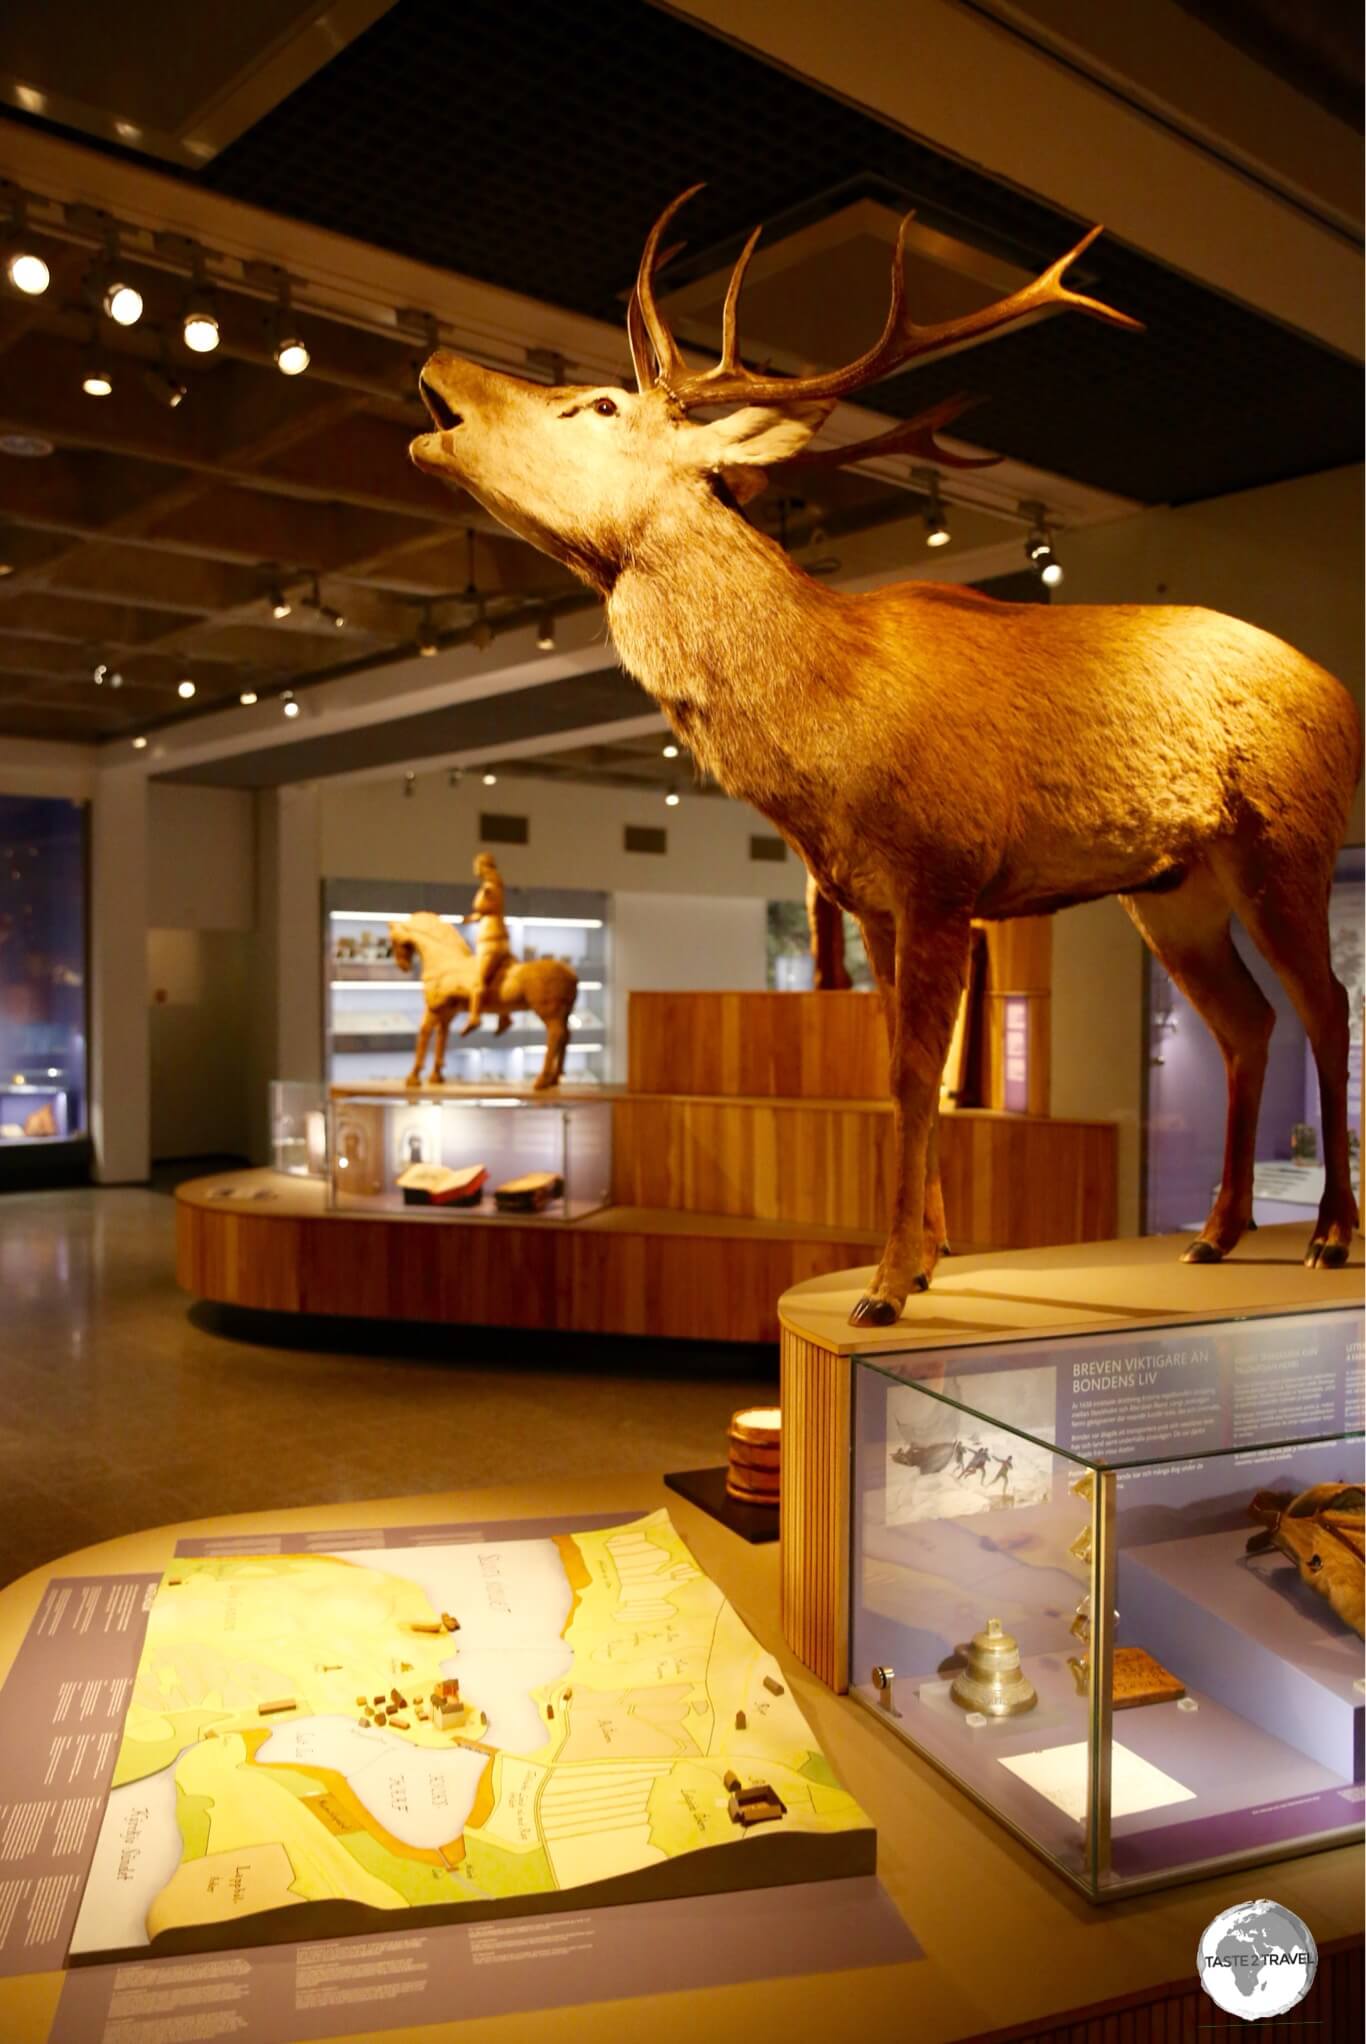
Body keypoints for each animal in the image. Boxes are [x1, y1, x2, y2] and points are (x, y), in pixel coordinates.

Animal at [411, 188, 1357, 1324]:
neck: (827, 729)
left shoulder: (942, 874)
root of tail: (1345, 697)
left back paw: (1328, 1235)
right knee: (1246, 1024)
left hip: (1286, 844)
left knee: (1327, 1005)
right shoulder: (866, 897)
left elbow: (914, 1071)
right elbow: (888, 1067)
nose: (438, 362)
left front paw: (888, 1281)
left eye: (598, 404)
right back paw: (1216, 1234)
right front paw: (933, 1251)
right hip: (1175, 888)